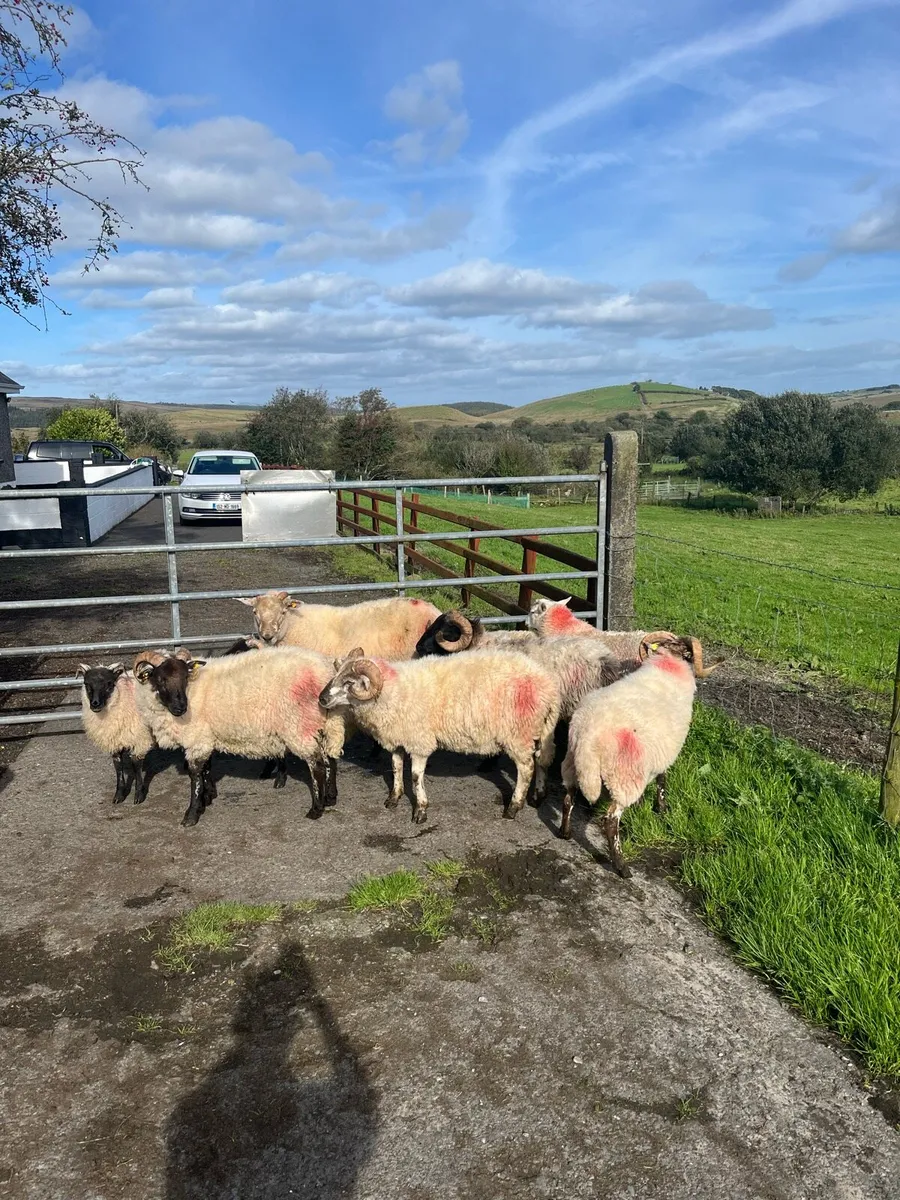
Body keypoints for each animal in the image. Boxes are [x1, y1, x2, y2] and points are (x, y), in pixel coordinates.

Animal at [79, 662, 155, 805]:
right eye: (86, 684)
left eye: (109, 683)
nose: (95, 704)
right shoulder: (114, 740)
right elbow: (118, 766)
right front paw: (119, 795)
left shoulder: (139, 737)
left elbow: (136, 766)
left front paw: (139, 795)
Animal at [133, 645, 346, 827]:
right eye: (160, 679)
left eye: (185, 677)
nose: (181, 708)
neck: (191, 691)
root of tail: (324, 671)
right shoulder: (206, 737)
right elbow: (206, 769)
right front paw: (208, 797)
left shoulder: (197, 738)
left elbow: (195, 775)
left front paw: (191, 814)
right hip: (327, 723)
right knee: (330, 760)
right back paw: (330, 797)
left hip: (299, 726)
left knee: (317, 766)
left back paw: (316, 809)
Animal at [318, 649, 560, 824]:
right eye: (336, 675)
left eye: (349, 683)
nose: (321, 699)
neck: (393, 690)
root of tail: (548, 685)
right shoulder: (397, 738)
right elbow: (396, 767)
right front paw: (394, 798)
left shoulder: (419, 742)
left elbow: (416, 777)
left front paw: (420, 810)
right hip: (536, 730)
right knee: (541, 760)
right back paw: (538, 796)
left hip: (517, 733)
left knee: (526, 767)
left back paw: (514, 807)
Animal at [559, 633, 715, 877]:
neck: (668, 664)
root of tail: (588, 737)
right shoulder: (667, 750)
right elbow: (662, 779)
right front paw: (661, 808)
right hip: (623, 777)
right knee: (610, 820)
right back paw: (622, 867)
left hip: (572, 764)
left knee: (568, 799)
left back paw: (565, 833)